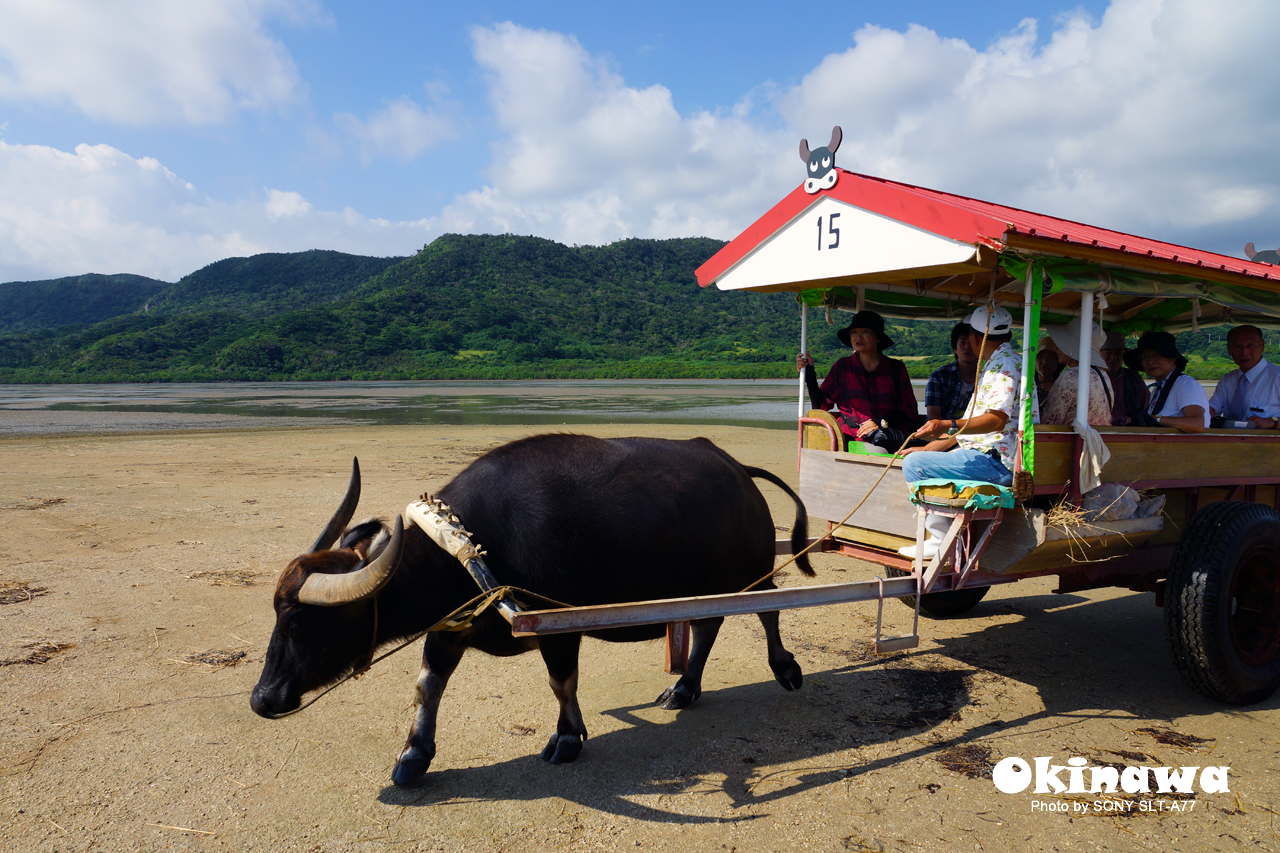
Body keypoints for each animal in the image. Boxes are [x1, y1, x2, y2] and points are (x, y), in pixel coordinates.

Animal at [249, 432, 808, 783]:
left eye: (298, 619)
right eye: (276, 614)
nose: (262, 698)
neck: (472, 548)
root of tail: (737, 470)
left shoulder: (558, 629)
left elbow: (562, 683)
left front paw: (567, 739)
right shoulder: (449, 626)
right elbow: (427, 686)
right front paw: (413, 756)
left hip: (757, 568)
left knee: (769, 611)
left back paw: (786, 669)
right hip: (705, 584)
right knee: (707, 623)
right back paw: (683, 689)